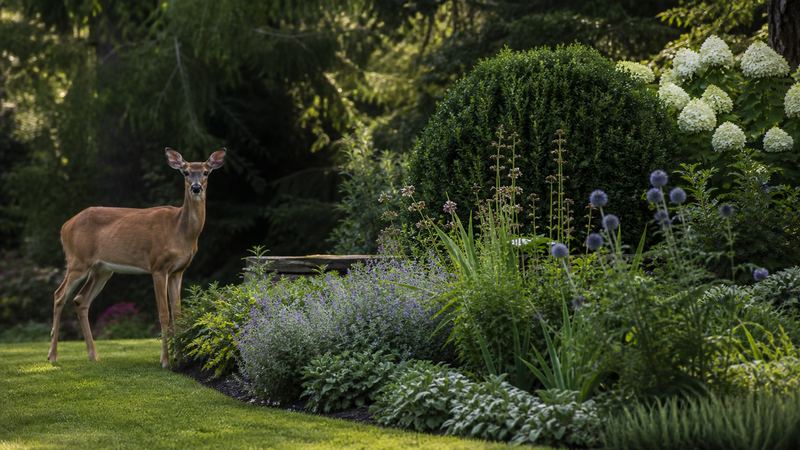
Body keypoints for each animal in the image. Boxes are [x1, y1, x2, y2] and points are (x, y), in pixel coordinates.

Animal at [47, 147, 226, 368]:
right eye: (185, 172)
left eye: (206, 172)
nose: (196, 188)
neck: (180, 230)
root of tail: (65, 227)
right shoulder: (158, 266)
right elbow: (164, 314)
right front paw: (165, 361)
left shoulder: (178, 270)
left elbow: (178, 314)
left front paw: (180, 360)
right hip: (77, 261)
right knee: (59, 295)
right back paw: (53, 356)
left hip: (102, 270)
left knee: (81, 300)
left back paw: (93, 356)